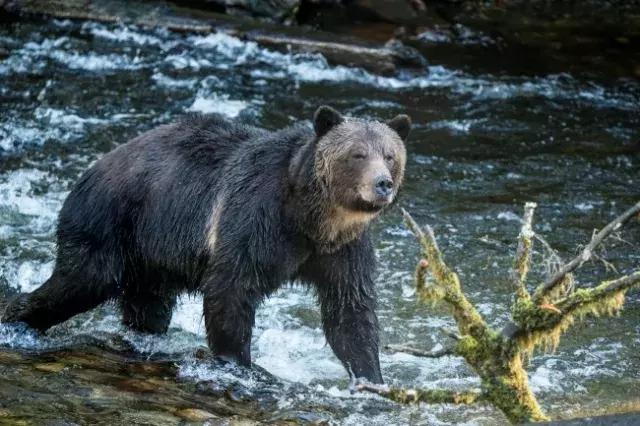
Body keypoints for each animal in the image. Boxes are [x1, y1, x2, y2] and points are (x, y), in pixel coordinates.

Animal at [1, 105, 410, 382]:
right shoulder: (254, 218)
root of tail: (93, 167)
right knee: (78, 282)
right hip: (110, 222)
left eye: (390, 154)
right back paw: (16, 317)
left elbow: (349, 309)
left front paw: (372, 377)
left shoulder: (342, 249)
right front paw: (241, 363)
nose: (383, 183)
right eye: (357, 154)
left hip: (150, 257)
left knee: (148, 308)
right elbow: (231, 289)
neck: (311, 217)